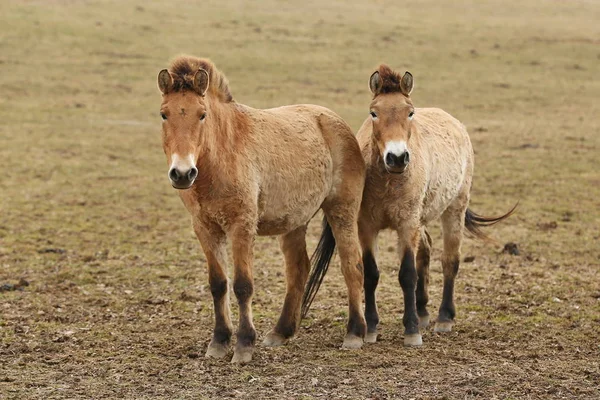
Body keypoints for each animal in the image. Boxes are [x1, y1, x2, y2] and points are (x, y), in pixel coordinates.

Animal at [155, 55, 368, 362]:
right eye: (164, 114)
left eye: (202, 114)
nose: (182, 173)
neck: (223, 153)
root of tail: (334, 120)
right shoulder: (205, 228)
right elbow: (218, 284)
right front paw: (219, 342)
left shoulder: (241, 225)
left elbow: (243, 285)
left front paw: (244, 345)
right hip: (294, 222)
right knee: (299, 269)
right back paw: (281, 332)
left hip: (342, 211)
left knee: (352, 265)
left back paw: (355, 333)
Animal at [304, 65, 516, 346]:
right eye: (374, 112)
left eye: (410, 112)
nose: (397, 158)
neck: (388, 182)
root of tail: (454, 121)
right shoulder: (367, 228)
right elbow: (371, 274)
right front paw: (371, 328)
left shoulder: (406, 225)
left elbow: (407, 274)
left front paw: (412, 330)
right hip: (421, 219)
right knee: (425, 251)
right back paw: (424, 311)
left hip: (454, 210)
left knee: (450, 260)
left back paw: (444, 318)